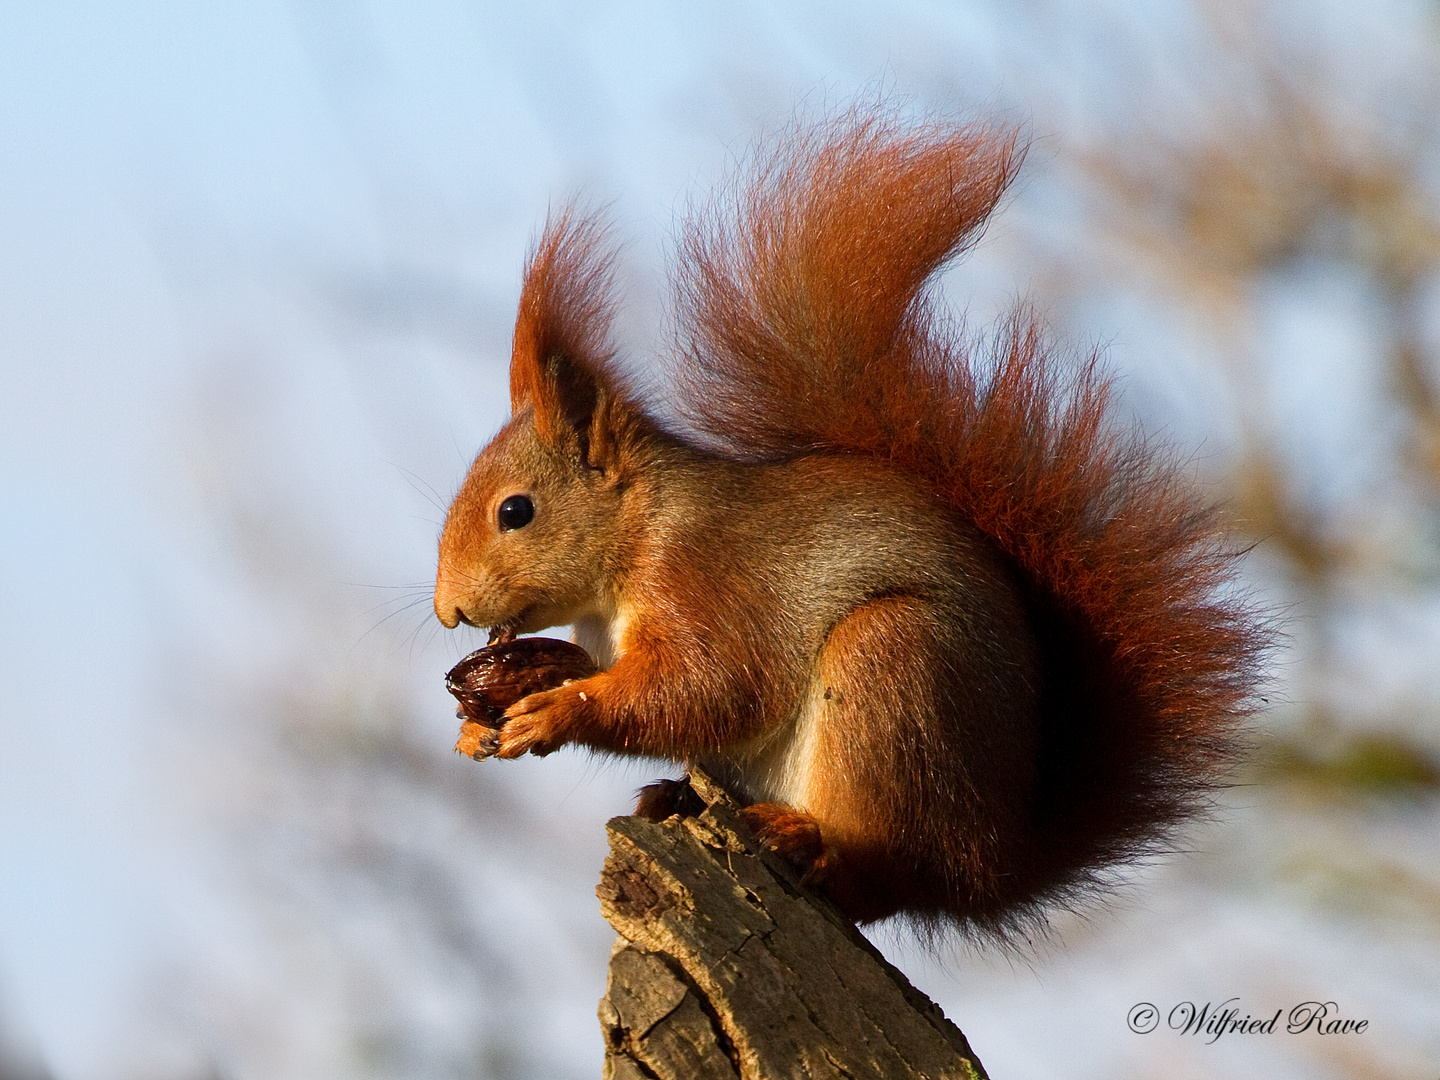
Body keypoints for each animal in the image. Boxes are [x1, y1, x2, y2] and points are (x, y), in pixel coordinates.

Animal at [432, 112, 1267, 938]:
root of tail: (990, 869)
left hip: (892, 675)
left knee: (880, 878)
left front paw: (555, 711)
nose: (449, 611)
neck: (638, 536)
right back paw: (679, 797)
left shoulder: (710, 580)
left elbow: (710, 689)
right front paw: (496, 706)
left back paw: (810, 842)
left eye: (515, 511)